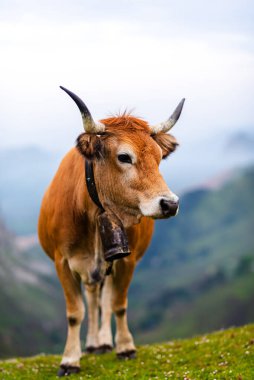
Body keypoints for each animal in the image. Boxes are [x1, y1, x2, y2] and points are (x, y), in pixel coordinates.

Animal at [37, 87, 185, 378]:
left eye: (159, 157)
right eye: (124, 156)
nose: (170, 204)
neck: (93, 211)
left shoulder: (128, 259)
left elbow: (118, 304)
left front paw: (125, 347)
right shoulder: (62, 261)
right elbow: (75, 312)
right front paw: (70, 359)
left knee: (103, 300)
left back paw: (104, 341)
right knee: (93, 297)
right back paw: (94, 343)